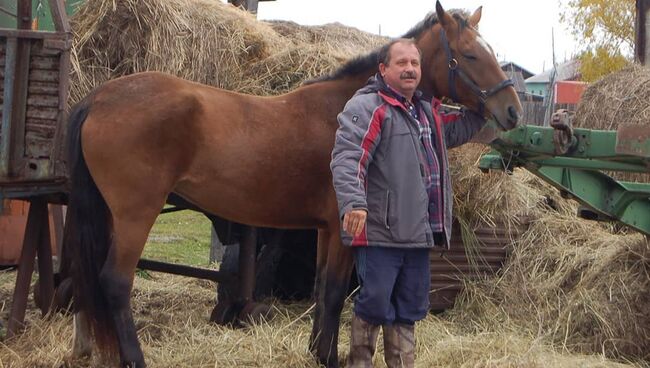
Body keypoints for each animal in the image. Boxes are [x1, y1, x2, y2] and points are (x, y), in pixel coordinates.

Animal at [64, 1, 520, 366]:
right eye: (470, 54)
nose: (513, 110)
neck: (346, 109)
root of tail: (100, 98)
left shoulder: (324, 230)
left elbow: (320, 289)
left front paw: (318, 352)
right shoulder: (343, 229)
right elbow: (334, 293)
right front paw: (331, 358)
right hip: (137, 213)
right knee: (115, 283)